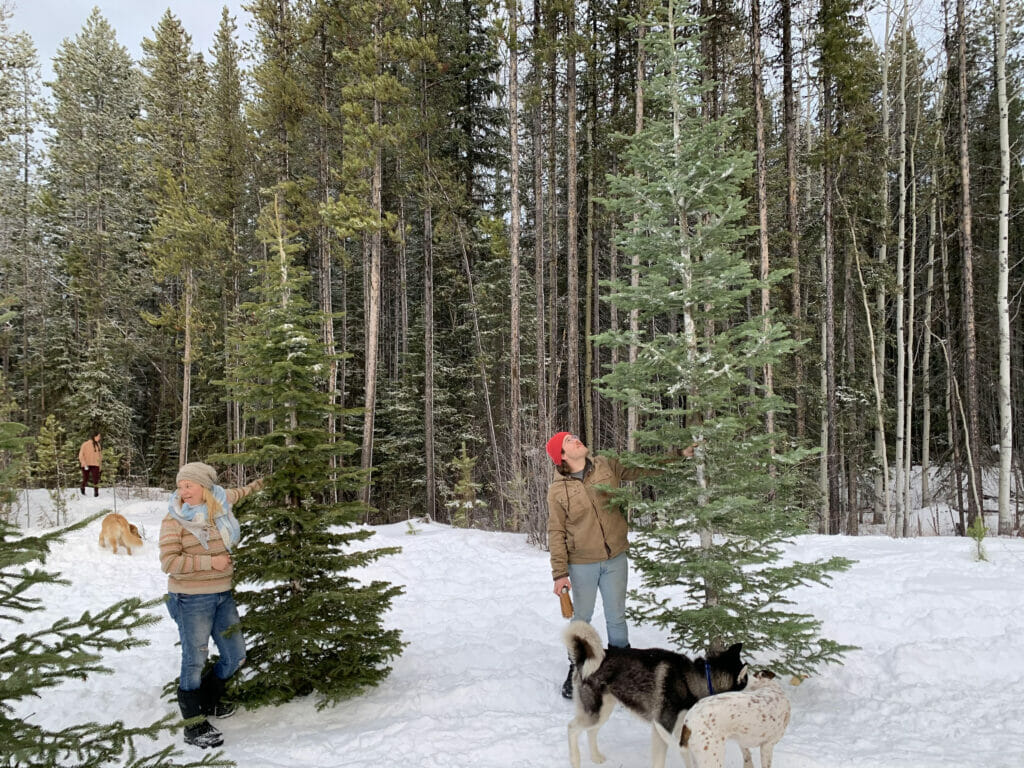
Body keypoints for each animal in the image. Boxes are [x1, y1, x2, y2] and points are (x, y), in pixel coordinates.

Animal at [565, 622, 749, 768]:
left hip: (602, 711)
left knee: (591, 732)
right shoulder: (662, 727)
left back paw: (596, 757)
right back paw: (575, 761)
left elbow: (687, 755)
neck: (694, 680)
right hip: (595, 713)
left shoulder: (680, 731)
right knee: (572, 728)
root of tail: (584, 658)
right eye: (747, 686)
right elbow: (660, 761)